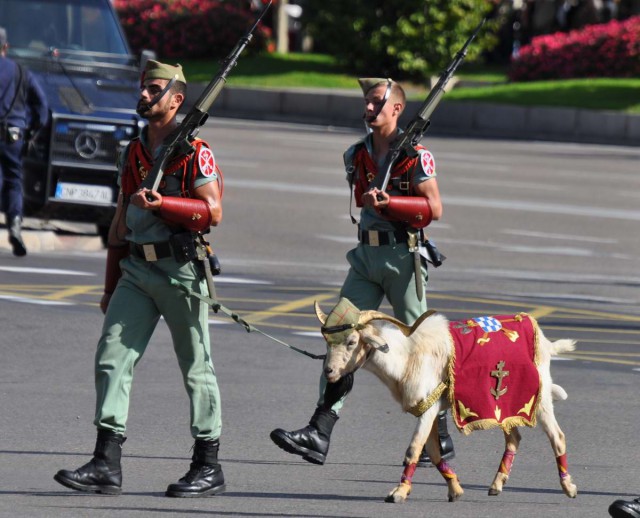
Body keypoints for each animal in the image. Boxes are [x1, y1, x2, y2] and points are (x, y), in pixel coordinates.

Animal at [318, 298, 576, 506]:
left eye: (352, 342)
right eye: (328, 342)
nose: (329, 371)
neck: (407, 356)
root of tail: (545, 342)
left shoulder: (429, 407)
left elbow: (414, 449)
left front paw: (398, 492)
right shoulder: (429, 408)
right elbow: (433, 453)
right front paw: (456, 490)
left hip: (539, 399)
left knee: (557, 436)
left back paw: (569, 488)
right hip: (506, 405)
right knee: (514, 438)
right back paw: (496, 485)